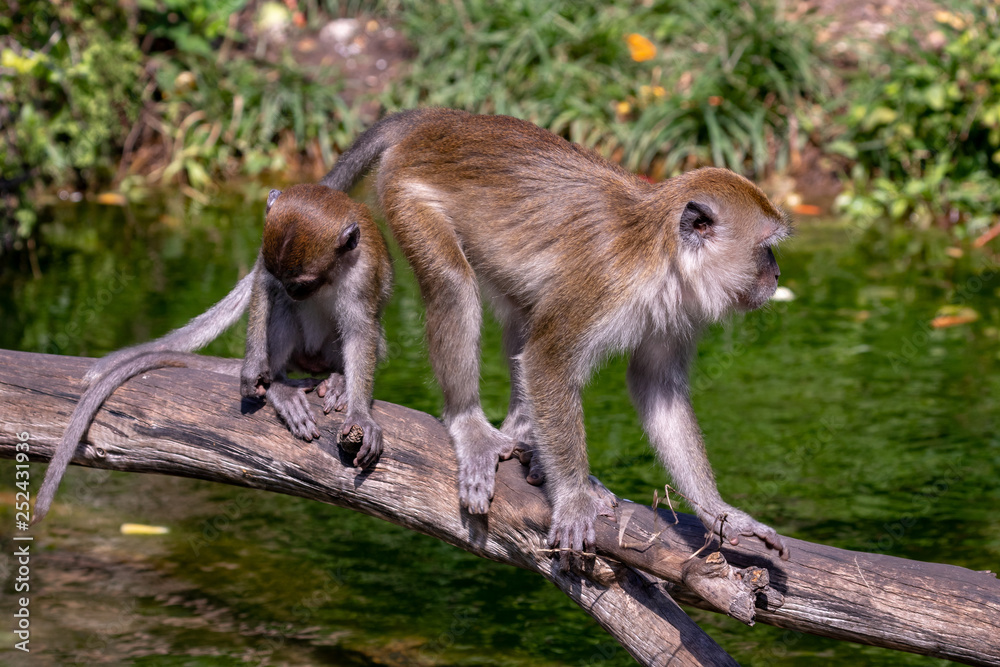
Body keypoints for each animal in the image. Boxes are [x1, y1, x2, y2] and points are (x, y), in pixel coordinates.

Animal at [34, 185, 390, 524]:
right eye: (286, 278)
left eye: (301, 284)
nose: (291, 290)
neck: (331, 275)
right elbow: (263, 288)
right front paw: (255, 371)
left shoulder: (362, 272)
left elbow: (361, 330)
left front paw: (360, 413)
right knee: (278, 307)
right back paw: (278, 385)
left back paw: (338, 380)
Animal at [320, 108, 788, 560]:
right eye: (765, 247)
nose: (777, 274)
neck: (659, 255)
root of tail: (439, 119)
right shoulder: (603, 279)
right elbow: (547, 362)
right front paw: (574, 500)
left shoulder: (676, 308)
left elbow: (656, 388)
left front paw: (719, 512)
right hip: (405, 192)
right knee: (455, 285)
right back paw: (469, 423)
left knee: (524, 311)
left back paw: (524, 437)